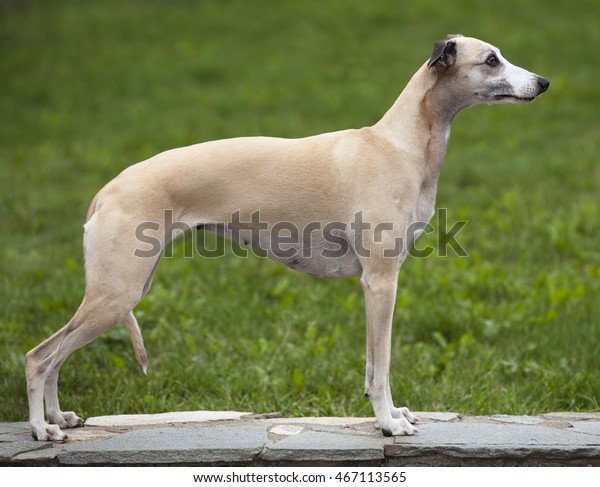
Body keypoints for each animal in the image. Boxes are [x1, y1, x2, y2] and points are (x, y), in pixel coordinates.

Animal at [27, 36, 548, 442]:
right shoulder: (381, 281)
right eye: (491, 59)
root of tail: (106, 190)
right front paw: (388, 423)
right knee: (38, 358)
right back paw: (40, 428)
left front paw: (388, 414)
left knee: (53, 357)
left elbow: (370, 367)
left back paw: (59, 418)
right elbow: (382, 367)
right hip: (117, 294)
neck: (397, 144)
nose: (543, 82)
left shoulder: (374, 285)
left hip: (125, 288)